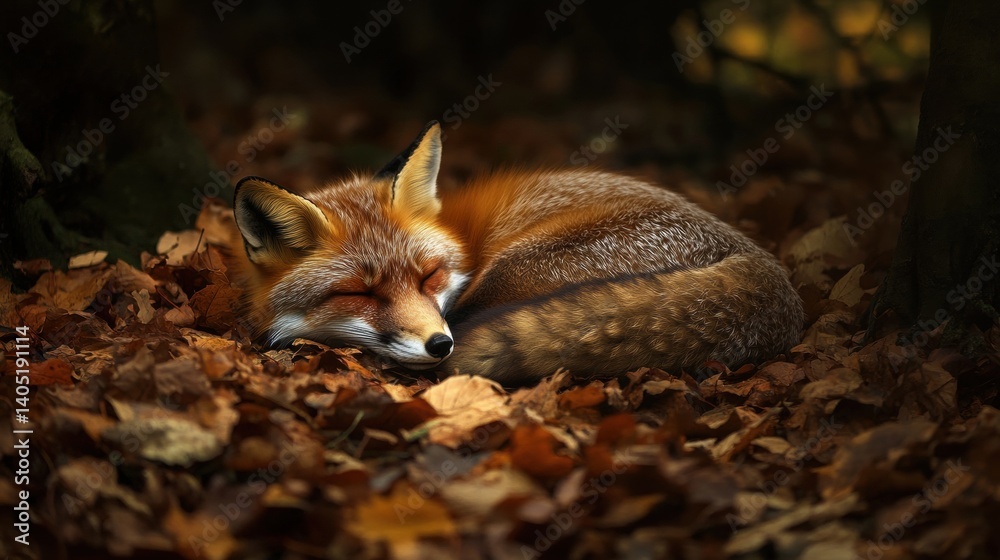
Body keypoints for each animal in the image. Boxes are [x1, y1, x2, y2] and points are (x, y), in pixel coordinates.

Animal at [227, 121, 803, 385]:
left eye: (429, 276)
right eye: (360, 294)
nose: (440, 345)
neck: (462, 237)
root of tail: (768, 272)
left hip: (513, 270)